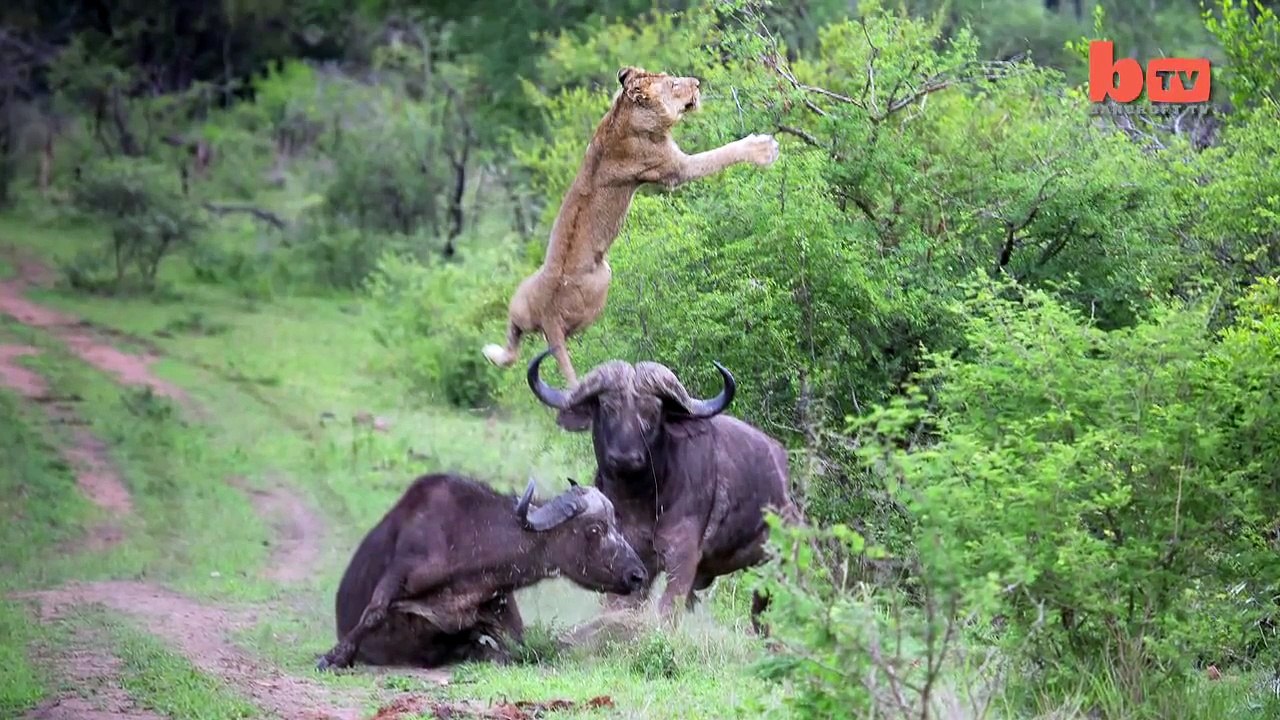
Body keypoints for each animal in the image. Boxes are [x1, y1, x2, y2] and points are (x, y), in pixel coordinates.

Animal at [317, 472, 648, 670]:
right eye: (594, 529)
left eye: (616, 524)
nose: (638, 575)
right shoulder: (401, 571)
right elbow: (373, 613)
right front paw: (334, 656)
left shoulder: (501, 607)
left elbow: (521, 645)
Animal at [481, 65, 780, 386]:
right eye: (674, 85)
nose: (698, 83)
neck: (623, 114)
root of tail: (549, 318)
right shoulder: (675, 169)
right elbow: (721, 154)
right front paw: (764, 148)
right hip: (602, 280)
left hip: (521, 300)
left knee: (513, 342)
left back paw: (491, 352)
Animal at [526, 348, 801, 632]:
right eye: (609, 407)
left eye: (651, 413)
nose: (625, 457)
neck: (640, 502)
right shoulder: (631, 558)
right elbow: (619, 604)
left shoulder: (683, 555)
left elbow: (668, 609)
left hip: (775, 567)